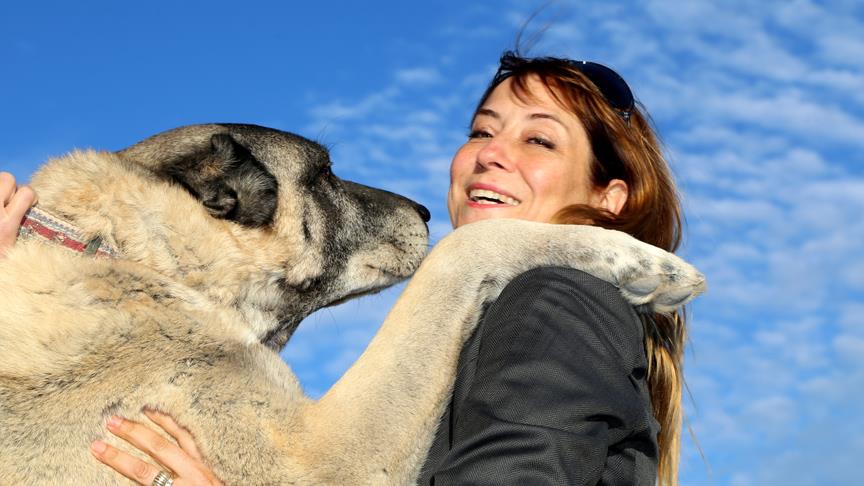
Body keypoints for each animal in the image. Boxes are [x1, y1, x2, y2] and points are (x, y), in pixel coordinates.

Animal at [0, 124, 704, 482]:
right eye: (325, 175)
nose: (425, 210)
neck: (131, 254)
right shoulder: (322, 459)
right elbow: (461, 252)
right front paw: (635, 258)